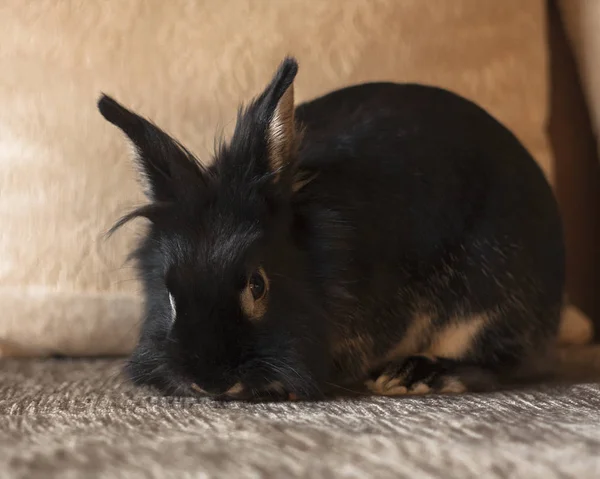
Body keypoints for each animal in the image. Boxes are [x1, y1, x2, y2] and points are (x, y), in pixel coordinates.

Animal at [98, 57, 564, 402]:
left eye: (257, 285)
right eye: (169, 293)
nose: (210, 382)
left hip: (489, 298)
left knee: (497, 363)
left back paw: (411, 376)